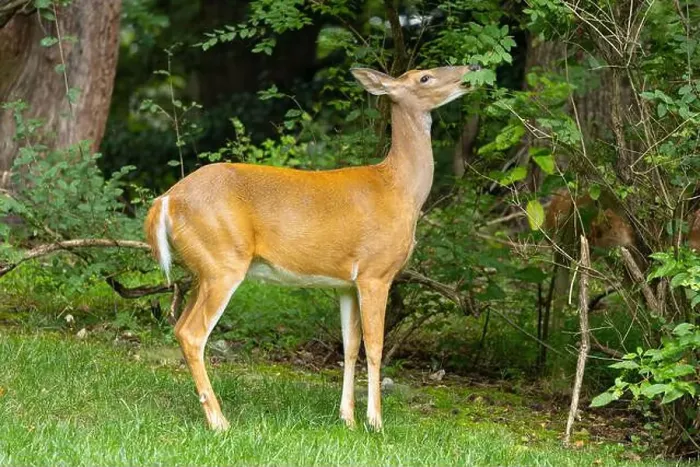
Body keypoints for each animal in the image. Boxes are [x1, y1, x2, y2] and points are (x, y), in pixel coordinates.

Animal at [144, 65, 480, 431]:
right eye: (424, 78)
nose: (472, 70)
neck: (399, 189)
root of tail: (166, 200)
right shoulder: (375, 273)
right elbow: (376, 346)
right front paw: (375, 422)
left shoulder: (346, 283)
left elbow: (350, 346)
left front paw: (347, 419)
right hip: (223, 263)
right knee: (193, 334)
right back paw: (220, 422)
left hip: (202, 270)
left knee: (179, 328)